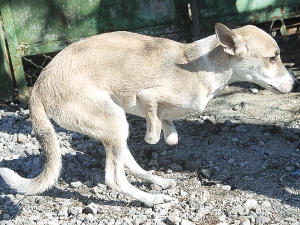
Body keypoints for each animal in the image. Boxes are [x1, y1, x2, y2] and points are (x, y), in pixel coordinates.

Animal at [0, 22, 298, 206]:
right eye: (273, 58)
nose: (295, 84)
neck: (206, 64)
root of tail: (39, 86)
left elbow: (170, 132)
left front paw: (168, 134)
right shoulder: (146, 96)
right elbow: (154, 133)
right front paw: (154, 135)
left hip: (116, 125)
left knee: (127, 162)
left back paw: (157, 181)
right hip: (115, 122)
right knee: (114, 178)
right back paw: (150, 200)